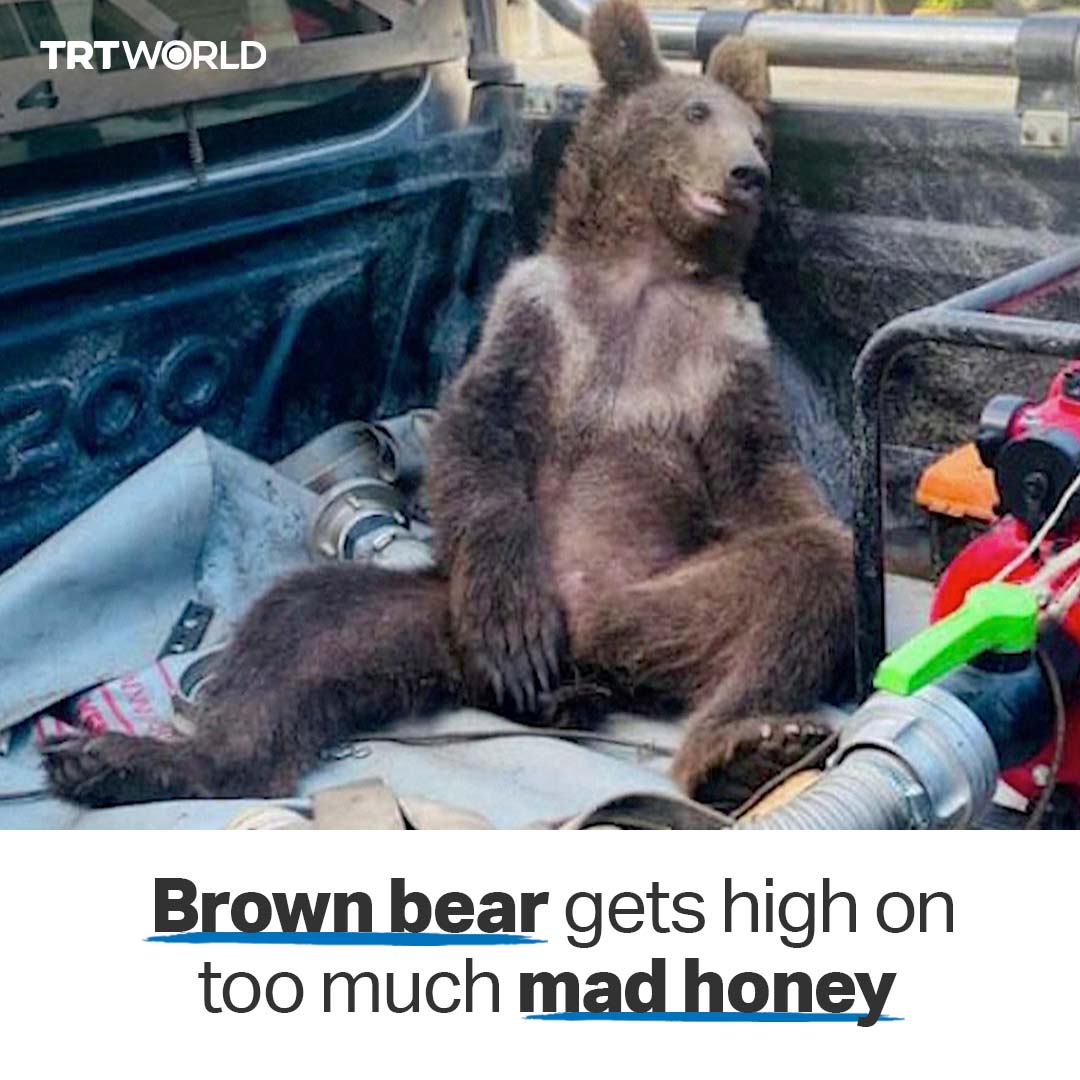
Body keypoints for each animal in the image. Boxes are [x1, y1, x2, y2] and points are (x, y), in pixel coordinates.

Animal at [43, 0, 854, 809]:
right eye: (695, 112)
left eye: (756, 133)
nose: (749, 171)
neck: (646, 271)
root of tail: (589, 662)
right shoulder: (537, 312)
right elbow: (480, 433)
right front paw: (514, 624)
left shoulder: (728, 350)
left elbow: (762, 472)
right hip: (438, 610)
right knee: (296, 628)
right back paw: (130, 760)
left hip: (657, 601)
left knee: (801, 581)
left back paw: (740, 746)